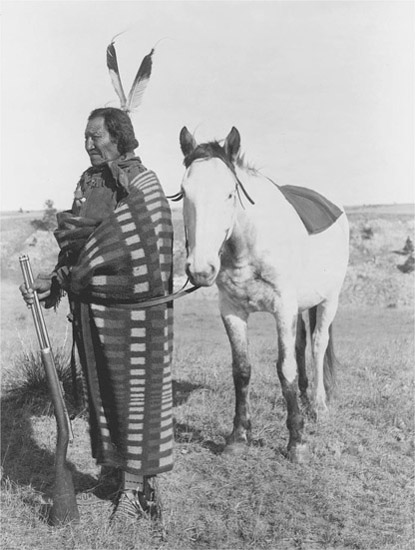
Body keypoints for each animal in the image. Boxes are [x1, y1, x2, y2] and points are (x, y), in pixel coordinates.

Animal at [179, 127, 352, 464]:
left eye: (230, 193)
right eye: (183, 193)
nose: (200, 269)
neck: (250, 244)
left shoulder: (283, 308)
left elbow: (284, 368)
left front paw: (297, 442)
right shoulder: (231, 310)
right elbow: (242, 370)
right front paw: (237, 436)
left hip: (329, 300)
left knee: (317, 345)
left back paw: (318, 406)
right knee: (301, 345)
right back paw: (303, 396)